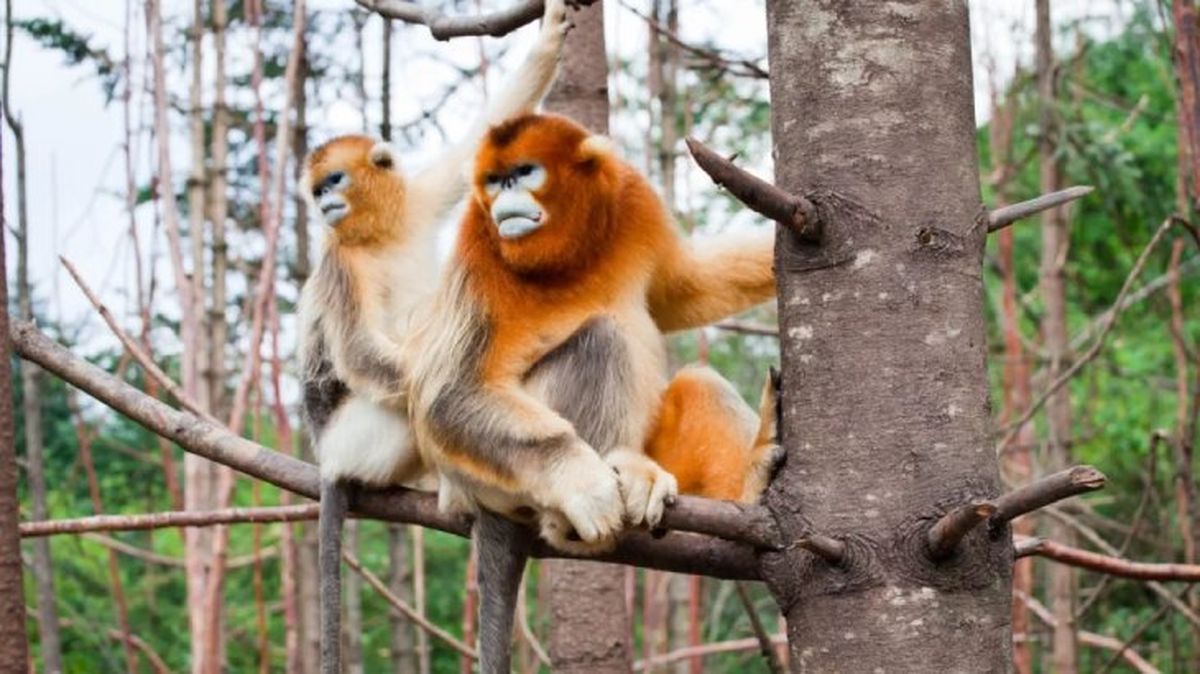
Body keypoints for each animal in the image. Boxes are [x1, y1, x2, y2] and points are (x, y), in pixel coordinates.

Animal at [296, 3, 570, 672]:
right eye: (317, 189)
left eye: (333, 181)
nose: (324, 204)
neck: (376, 236)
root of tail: (324, 459)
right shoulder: (339, 266)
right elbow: (361, 354)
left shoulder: (418, 199)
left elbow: (478, 138)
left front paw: (549, 35)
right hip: (353, 440)